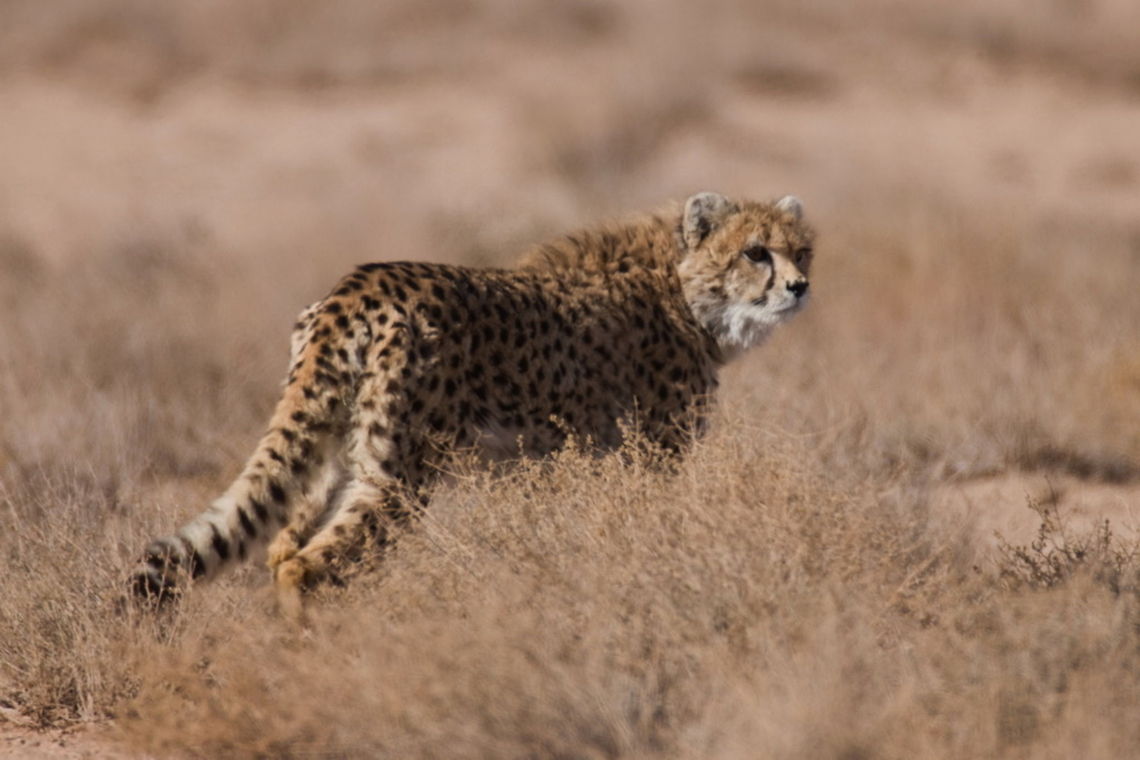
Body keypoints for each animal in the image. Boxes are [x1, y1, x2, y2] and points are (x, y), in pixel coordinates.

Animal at [132, 191, 816, 616]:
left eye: (802, 250)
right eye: (756, 251)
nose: (799, 286)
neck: (684, 288)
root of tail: (357, 284)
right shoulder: (652, 457)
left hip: (337, 454)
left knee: (281, 547)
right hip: (400, 474)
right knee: (308, 564)